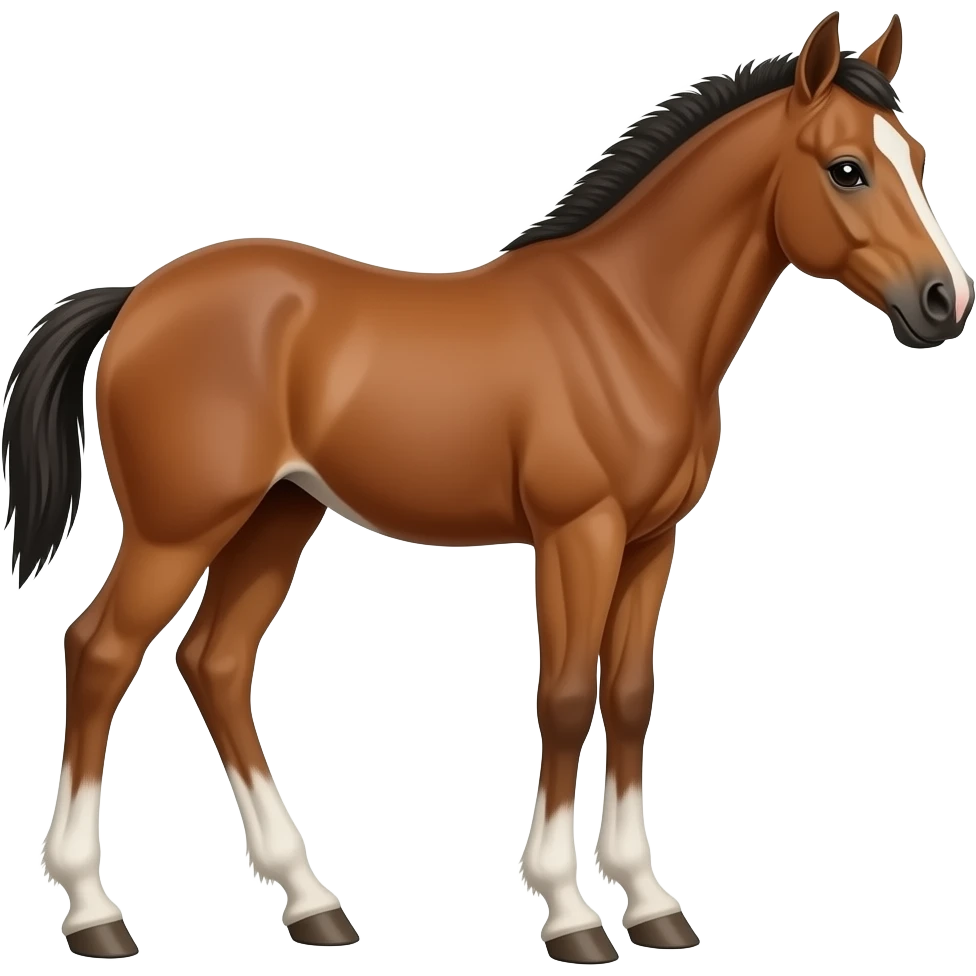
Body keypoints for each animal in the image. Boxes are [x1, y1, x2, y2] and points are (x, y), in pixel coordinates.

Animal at [3, 10, 971, 964]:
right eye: (846, 168)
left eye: (918, 158)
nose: (943, 302)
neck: (630, 322)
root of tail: (138, 297)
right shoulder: (579, 534)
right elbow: (568, 698)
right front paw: (572, 915)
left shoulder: (652, 541)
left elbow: (630, 698)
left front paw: (653, 904)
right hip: (179, 529)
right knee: (100, 652)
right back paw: (94, 912)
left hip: (278, 517)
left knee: (216, 663)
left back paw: (311, 903)